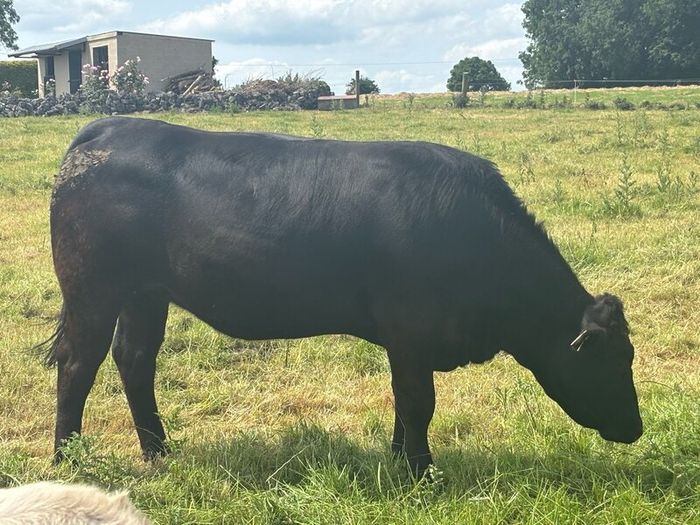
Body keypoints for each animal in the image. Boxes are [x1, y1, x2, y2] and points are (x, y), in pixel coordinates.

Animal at [39, 117, 642, 477]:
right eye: (614, 361)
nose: (637, 429)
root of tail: (111, 127)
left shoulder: (408, 343)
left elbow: (403, 403)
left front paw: (400, 461)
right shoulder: (411, 331)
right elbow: (418, 403)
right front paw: (422, 474)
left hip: (146, 294)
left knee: (135, 359)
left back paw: (159, 452)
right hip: (93, 289)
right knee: (79, 363)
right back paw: (69, 458)